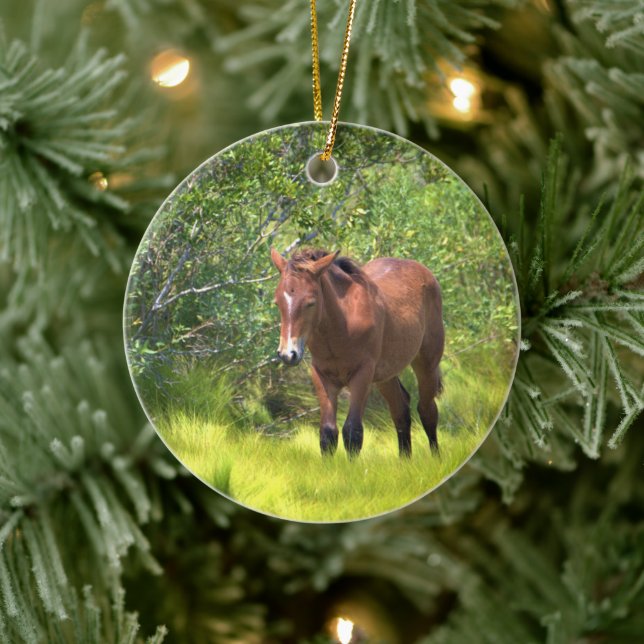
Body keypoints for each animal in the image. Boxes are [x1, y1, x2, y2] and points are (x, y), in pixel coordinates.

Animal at [270, 247, 444, 458]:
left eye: (310, 302)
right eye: (278, 302)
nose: (288, 354)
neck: (340, 328)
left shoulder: (362, 375)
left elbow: (353, 432)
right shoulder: (322, 377)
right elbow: (327, 433)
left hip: (427, 363)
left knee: (427, 410)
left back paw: (436, 458)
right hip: (386, 375)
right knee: (400, 410)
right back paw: (405, 460)